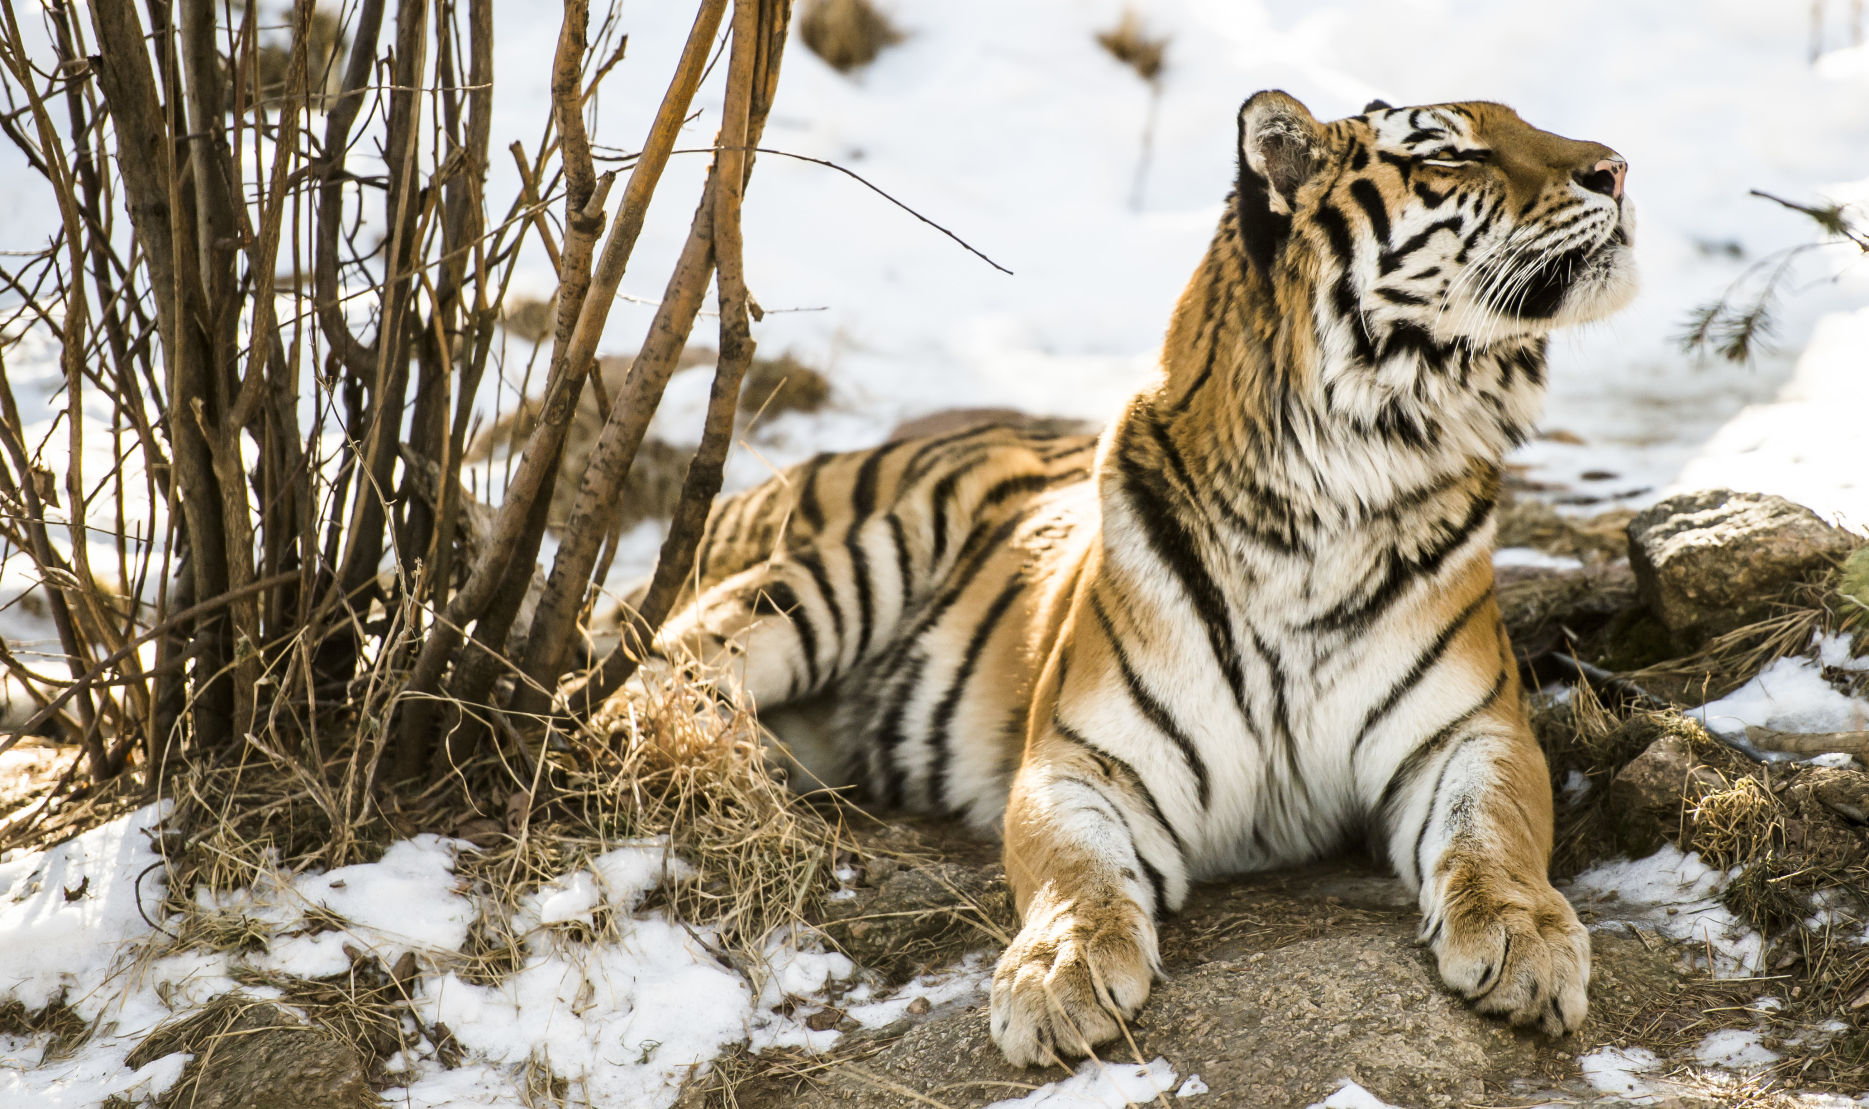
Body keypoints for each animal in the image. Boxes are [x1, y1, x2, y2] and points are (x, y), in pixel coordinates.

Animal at [613, 93, 1637, 1062]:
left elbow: (1489, 830)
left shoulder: (1470, 729)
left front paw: (1522, 938)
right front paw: (1057, 976)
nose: (1617, 168)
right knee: (650, 683)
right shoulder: (1081, 757)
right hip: (828, 582)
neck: (1346, 475)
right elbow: (1081, 871)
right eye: (1451, 152)